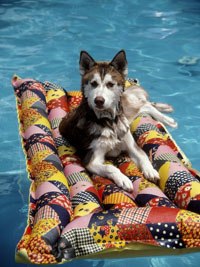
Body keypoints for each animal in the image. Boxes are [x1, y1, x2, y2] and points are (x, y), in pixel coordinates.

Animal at [58, 50, 177, 193]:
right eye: (93, 83)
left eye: (110, 84)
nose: (99, 100)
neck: (109, 122)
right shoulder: (91, 159)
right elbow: (110, 167)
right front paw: (123, 179)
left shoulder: (131, 146)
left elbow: (143, 156)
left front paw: (150, 170)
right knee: (144, 105)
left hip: (127, 112)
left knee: (145, 104)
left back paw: (168, 118)